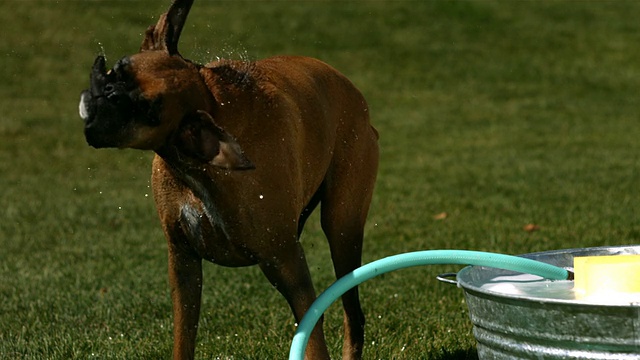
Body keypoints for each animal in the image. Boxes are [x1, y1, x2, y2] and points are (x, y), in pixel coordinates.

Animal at [80, 1, 380, 358]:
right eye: (119, 70)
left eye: (149, 111)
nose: (107, 92)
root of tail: (359, 99)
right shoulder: (183, 264)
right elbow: (184, 338)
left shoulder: (288, 266)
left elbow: (313, 338)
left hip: (341, 229)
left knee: (354, 314)